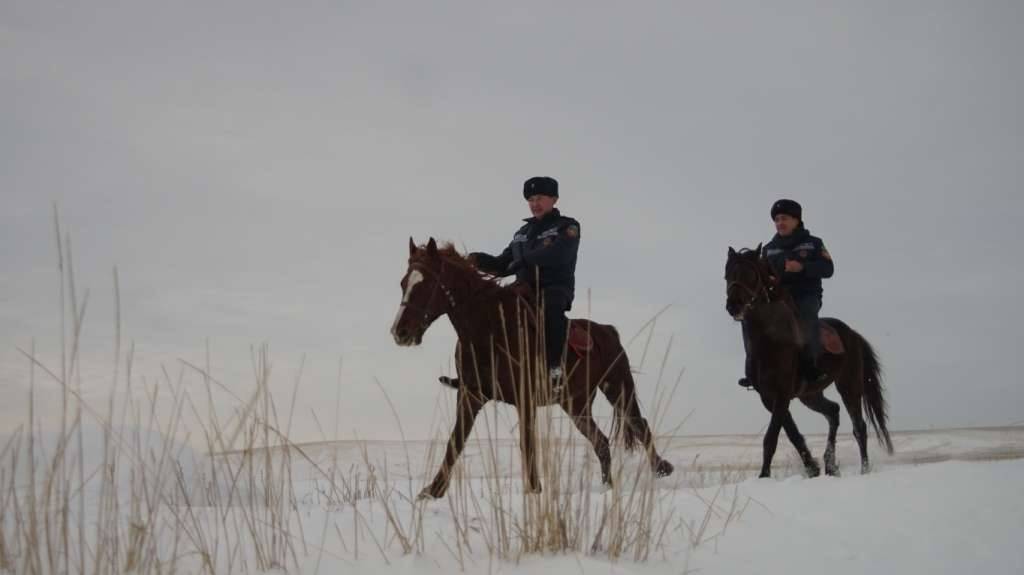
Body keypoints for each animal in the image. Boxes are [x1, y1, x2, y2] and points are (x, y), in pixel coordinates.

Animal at [389, 237, 671, 497]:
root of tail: (608, 331)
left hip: (618, 388)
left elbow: (527, 443)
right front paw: (433, 491)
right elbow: (455, 441)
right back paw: (608, 488)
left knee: (640, 425)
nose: (400, 332)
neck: (490, 329)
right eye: (403, 283)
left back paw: (661, 469)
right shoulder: (471, 395)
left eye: (426, 284)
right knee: (601, 442)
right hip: (576, 404)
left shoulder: (524, 399)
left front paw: (534, 490)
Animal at [724, 245, 892, 474]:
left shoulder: (782, 395)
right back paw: (830, 464)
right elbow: (792, 434)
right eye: (727, 274)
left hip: (849, 385)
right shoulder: (768, 398)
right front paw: (812, 468)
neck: (767, 343)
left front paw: (764, 476)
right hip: (810, 395)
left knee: (859, 427)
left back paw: (864, 469)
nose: (734, 305)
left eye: (751, 274)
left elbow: (771, 438)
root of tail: (852, 333)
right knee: (833, 411)